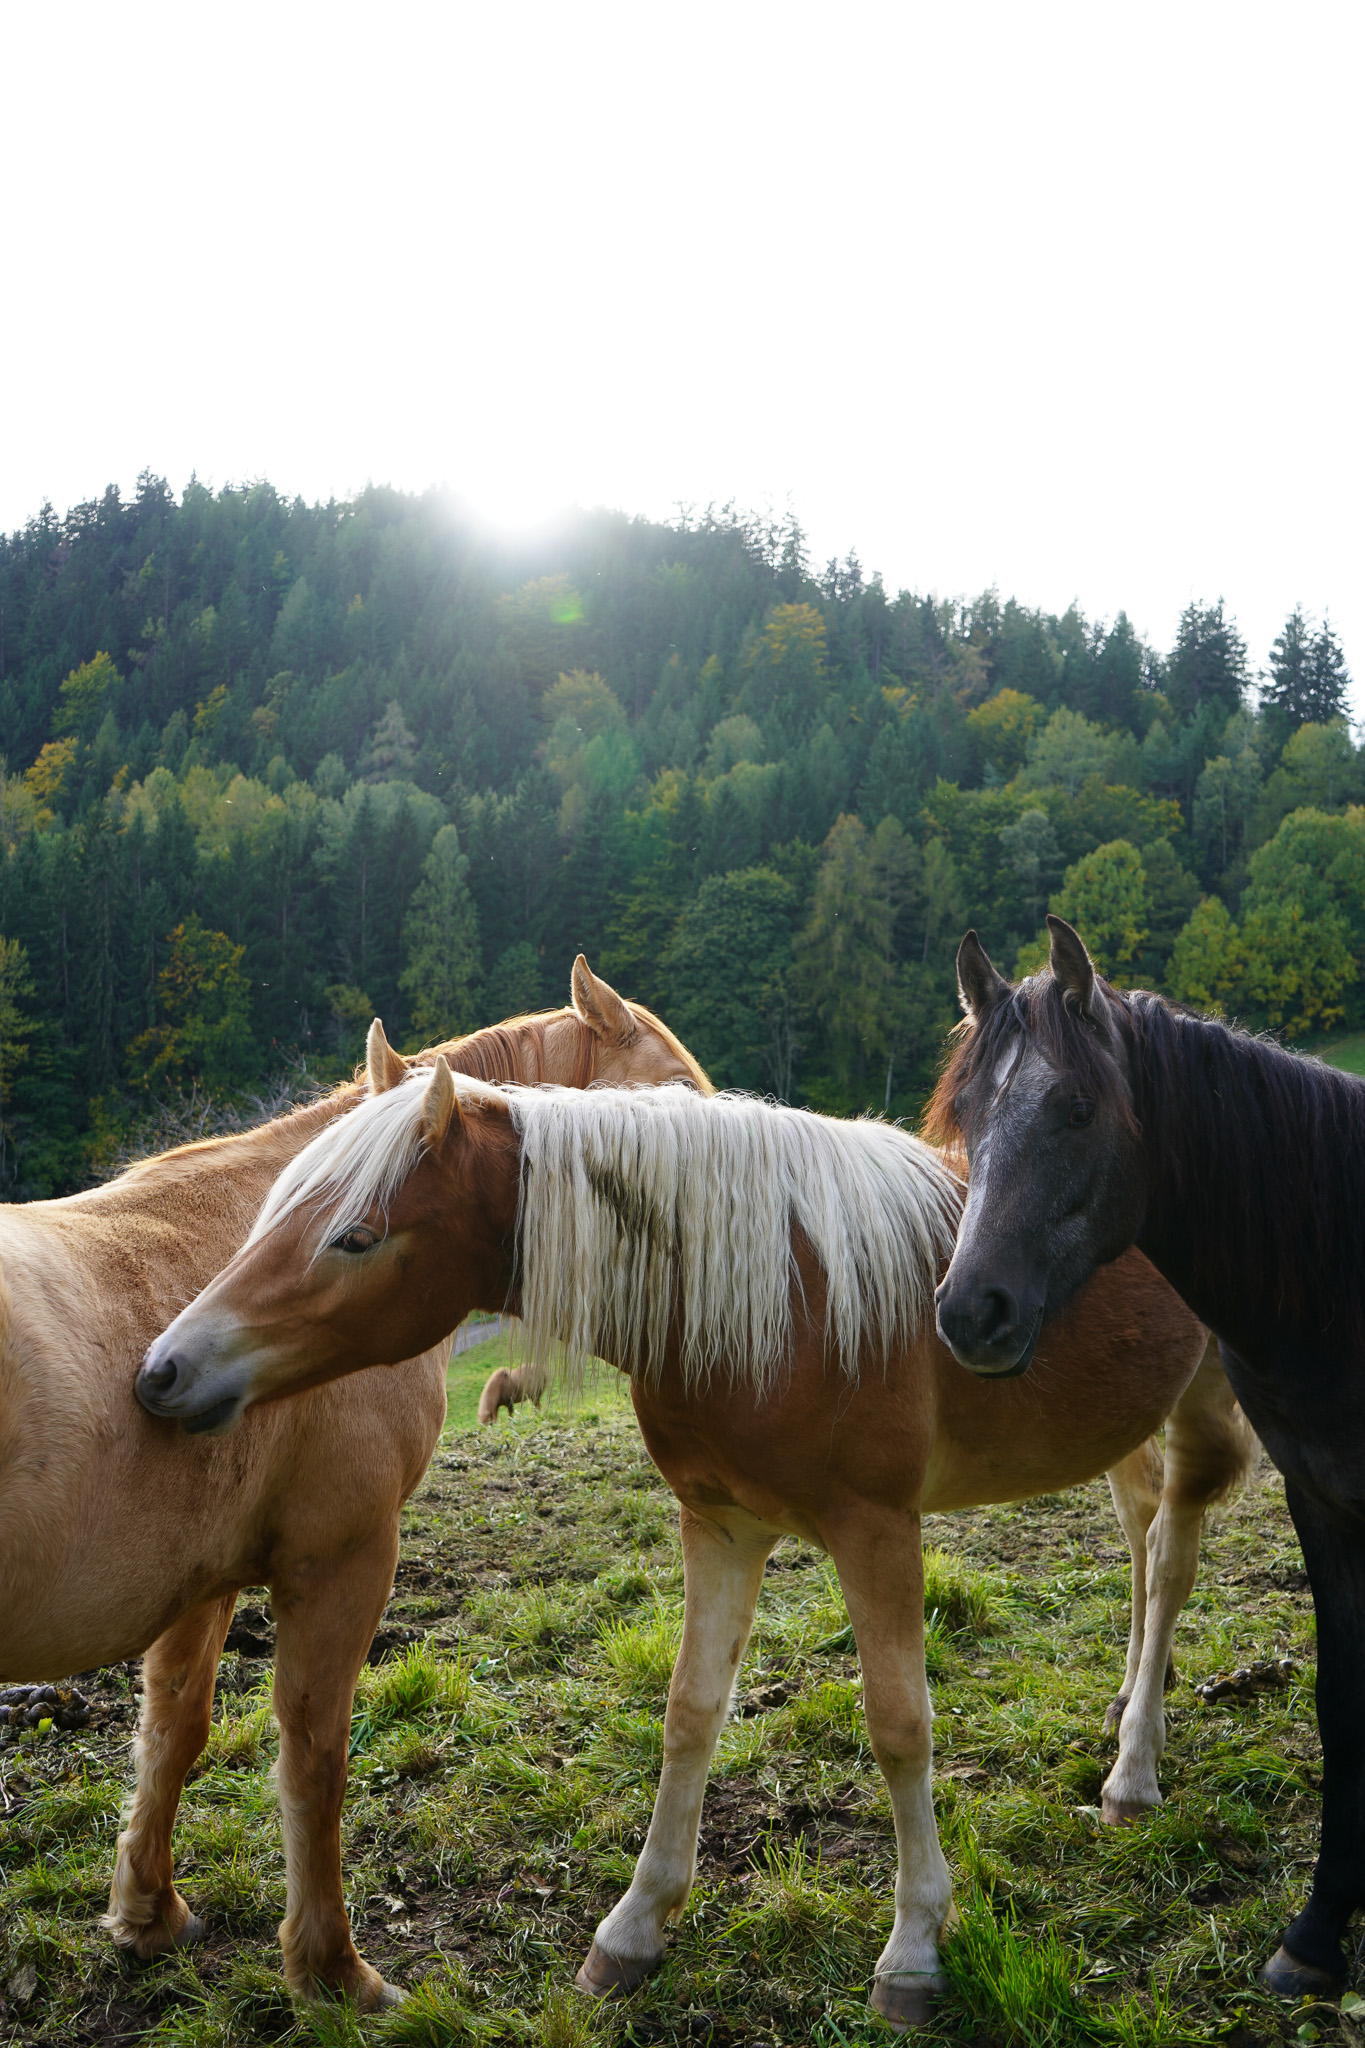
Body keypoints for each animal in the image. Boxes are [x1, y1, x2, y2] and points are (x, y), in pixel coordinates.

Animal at [0, 956, 703, 2011]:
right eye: (677, 1098)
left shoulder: (200, 1584)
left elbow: (173, 1733)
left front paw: (147, 1915)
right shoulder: (341, 1558)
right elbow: (314, 1758)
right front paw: (332, 1970)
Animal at [139, 1070, 1252, 2029]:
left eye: (357, 1235)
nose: (163, 1371)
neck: (787, 1294)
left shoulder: (876, 1528)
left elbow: (899, 1725)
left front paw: (914, 1951)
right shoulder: (720, 1525)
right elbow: (688, 1713)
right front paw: (634, 1928)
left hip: (1211, 1396)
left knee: (1174, 1554)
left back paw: (1133, 1771)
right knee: (1143, 1535)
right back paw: (1124, 1707)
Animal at [931, 913, 1365, 2003]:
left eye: (1079, 1107)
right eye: (966, 1112)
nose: (968, 1311)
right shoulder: (1321, 1496)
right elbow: (1341, 1700)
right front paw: (1316, 1932)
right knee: (1150, 1535)